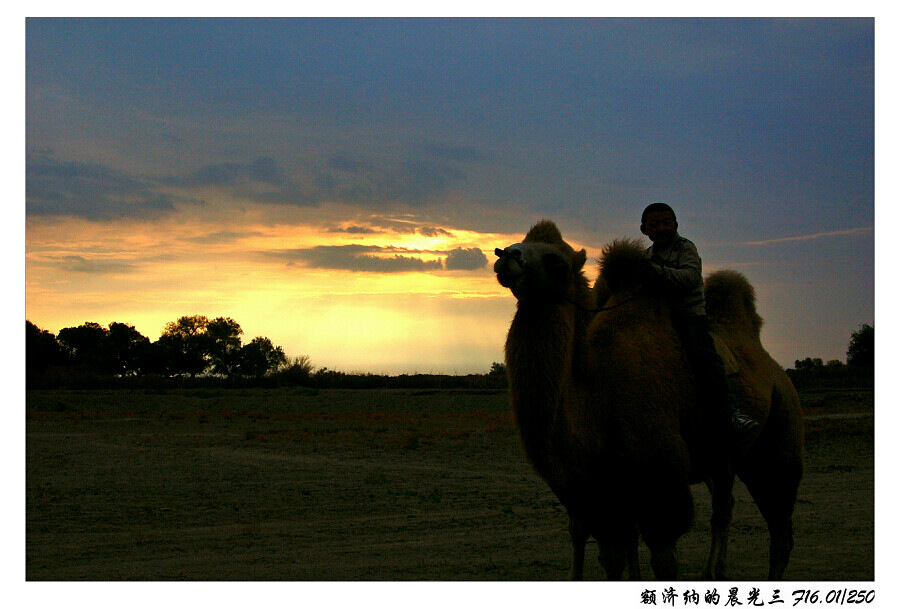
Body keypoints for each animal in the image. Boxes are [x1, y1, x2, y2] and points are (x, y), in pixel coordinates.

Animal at [496, 220, 804, 580]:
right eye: (522, 241)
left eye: (557, 261)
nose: (506, 255)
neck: (597, 397)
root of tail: (775, 370)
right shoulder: (596, 496)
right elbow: (612, 559)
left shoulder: (662, 488)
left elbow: (664, 561)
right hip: (721, 459)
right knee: (724, 508)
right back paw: (715, 572)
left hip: (778, 440)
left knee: (780, 526)